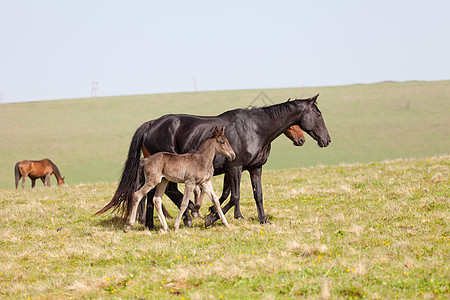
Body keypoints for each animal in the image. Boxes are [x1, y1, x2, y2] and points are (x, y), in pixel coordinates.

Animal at [97, 94, 330, 230]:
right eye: (318, 114)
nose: (326, 140)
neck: (255, 128)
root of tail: (150, 124)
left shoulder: (255, 168)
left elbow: (257, 195)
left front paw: (263, 220)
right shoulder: (235, 167)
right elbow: (233, 196)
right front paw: (212, 217)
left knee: (154, 195)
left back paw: (152, 225)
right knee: (164, 193)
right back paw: (188, 215)